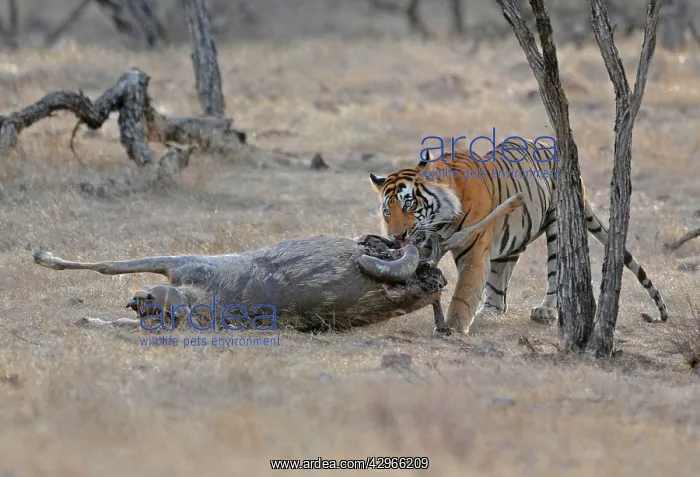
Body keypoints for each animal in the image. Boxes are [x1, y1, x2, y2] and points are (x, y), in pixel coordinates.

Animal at [368, 138, 669, 335]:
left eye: (409, 204)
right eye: (387, 211)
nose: (397, 236)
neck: (439, 224)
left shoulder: (473, 249)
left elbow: (464, 290)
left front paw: (453, 326)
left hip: (559, 226)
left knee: (556, 273)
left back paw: (546, 311)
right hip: (511, 237)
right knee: (501, 279)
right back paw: (490, 310)